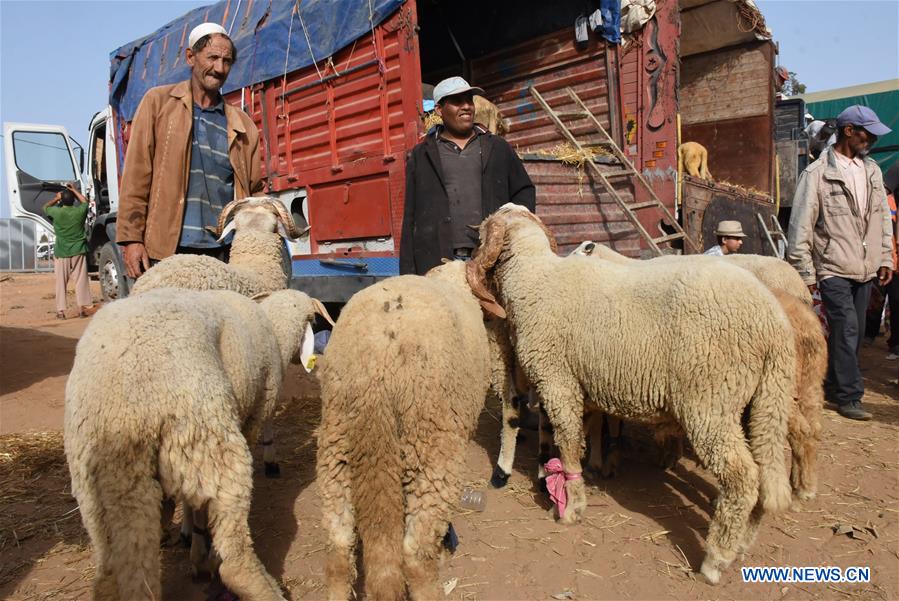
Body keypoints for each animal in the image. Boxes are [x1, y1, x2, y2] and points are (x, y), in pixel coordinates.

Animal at [65, 288, 326, 596]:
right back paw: (253, 582)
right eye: (313, 321)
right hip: (209, 438)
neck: (273, 329)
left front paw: (190, 536)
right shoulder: (252, 417)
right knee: (234, 558)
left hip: (106, 482)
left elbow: (190, 502)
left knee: (117, 571)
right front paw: (199, 549)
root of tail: (132, 400)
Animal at [464, 205, 796, 580]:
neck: (536, 279)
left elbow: (568, 443)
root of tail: (772, 324)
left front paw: (572, 506)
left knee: (742, 476)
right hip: (764, 398)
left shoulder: (557, 380)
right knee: (766, 472)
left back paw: (716, 559)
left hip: (710, 400)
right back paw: (741, 545)